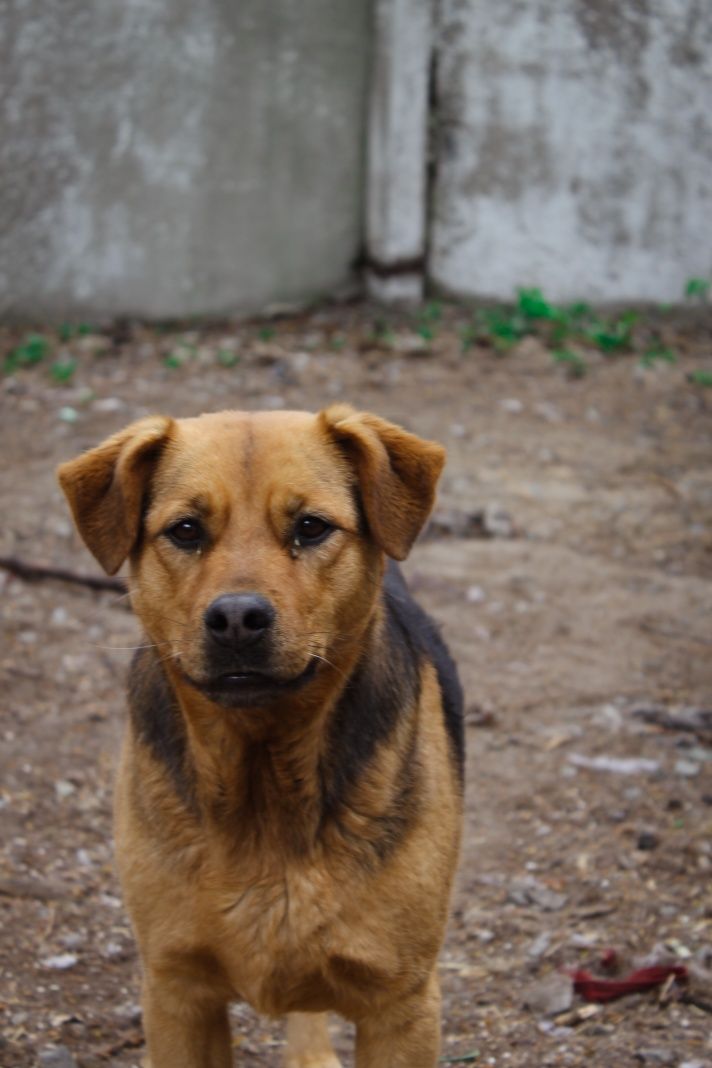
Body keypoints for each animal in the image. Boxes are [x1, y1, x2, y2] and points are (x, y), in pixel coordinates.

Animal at [58, 403, 465, 1063]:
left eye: (310, 527)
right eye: (186, 530)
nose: (236, 619)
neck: (263, 781)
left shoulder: (401, 1004)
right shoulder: (176, 991)